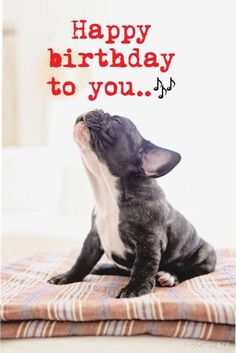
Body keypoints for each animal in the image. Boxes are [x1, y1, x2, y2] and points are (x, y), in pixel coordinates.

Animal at [48, 110, 217, 296]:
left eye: (116, 122)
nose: (94, 109)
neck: (108, 193)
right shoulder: (94, 237)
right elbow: (83, 260)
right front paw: (67, 276)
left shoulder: (149, 240)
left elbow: (143, 266)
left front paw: (135, 288)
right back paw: (105, 267)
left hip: (205, 255)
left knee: (189, 271)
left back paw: (169, 276)